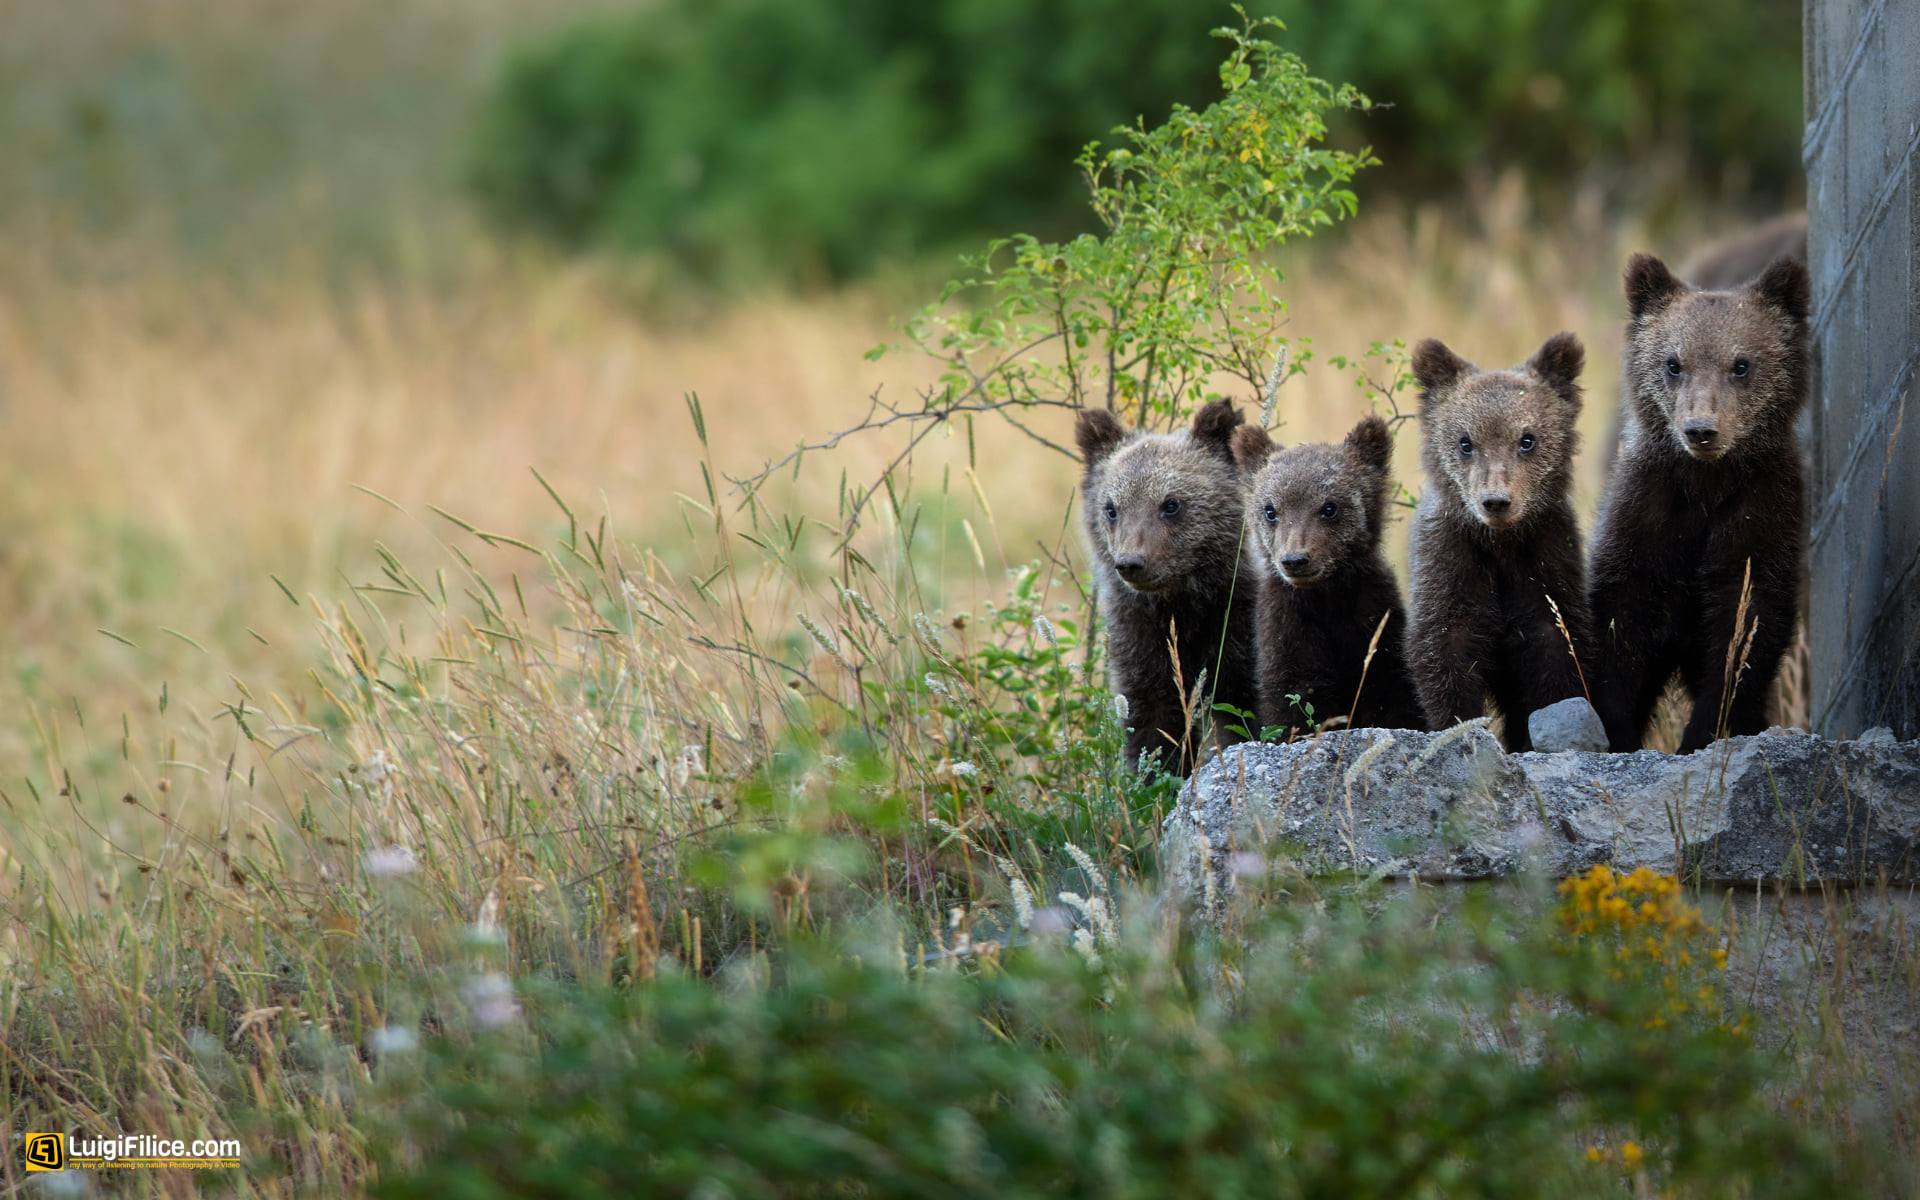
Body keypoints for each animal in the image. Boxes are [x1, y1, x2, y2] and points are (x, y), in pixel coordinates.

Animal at [1076, 399, 1261, 775]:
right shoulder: (1140, 633)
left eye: (1171, 504)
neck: (1183, 600)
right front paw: (1158, 775)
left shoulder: (1238, 622)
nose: (1131, 562)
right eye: (1111, 508)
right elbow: (1154, 719)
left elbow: (1246, 707)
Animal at [1230, 415, 1425, 737]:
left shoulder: (1373, 617)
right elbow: (1293, 694)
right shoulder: (1288, 623)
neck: (1326, 596)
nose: (1295, 560)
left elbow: (1391, 691)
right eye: (1270, 510)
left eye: (1330, 507)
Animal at [1405, 332, 1595, 752]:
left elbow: (1558, 653)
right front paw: (1461, 729)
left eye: (1527, 439)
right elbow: (1444, 652)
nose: (1496, 501)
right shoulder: (1451, 563)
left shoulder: (1548, 560)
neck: (1500, 544)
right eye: (1465, 442)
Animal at [1587, 253, 1810, 754]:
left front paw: (1708, 730)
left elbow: (1742, 635)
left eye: (1741, 364)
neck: (1706, 485)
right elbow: (1620, 629)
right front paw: (1616, 729)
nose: (1701, 430)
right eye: (1673, 363)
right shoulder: (1648, 517)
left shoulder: (1759, 517)